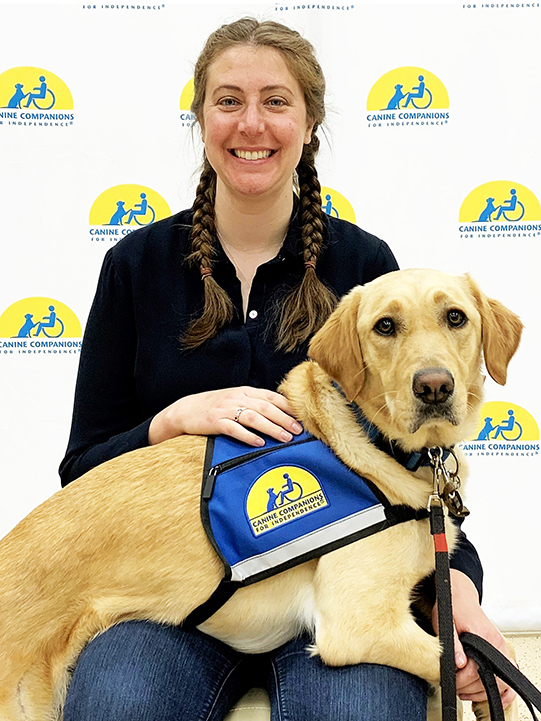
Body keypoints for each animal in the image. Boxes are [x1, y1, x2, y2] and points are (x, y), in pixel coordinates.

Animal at [0, 270, 524, 720]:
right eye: (385, 326)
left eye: (455, 317)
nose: (434, 386)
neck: (379, 442)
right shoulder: (357, 624)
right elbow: (455, 661)